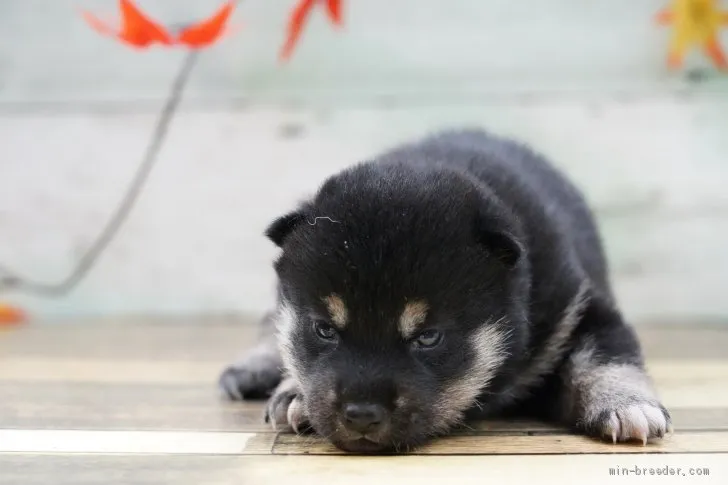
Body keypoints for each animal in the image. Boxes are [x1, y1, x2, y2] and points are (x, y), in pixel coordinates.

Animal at [220, 130, 672, 454]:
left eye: (428, 338)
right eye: (324, 330)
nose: (361, 414)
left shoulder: (577, 306)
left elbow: (606, 354)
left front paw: (627, 404)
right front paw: (293, 390)